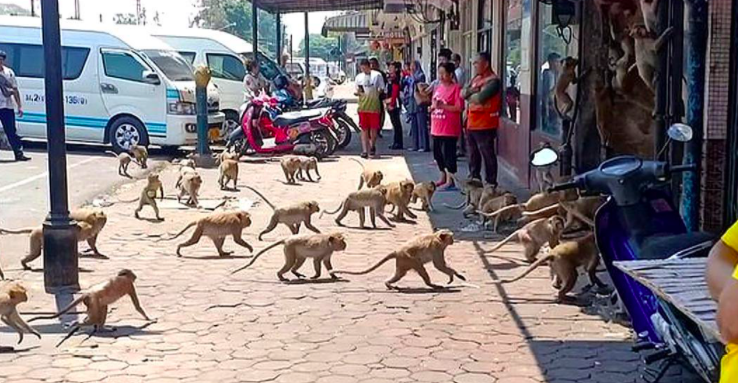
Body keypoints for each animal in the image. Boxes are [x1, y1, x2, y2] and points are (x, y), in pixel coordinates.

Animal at [330, 231, 462, 292]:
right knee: (420, 267)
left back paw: (388, 283)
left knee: (399, 274)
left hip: (402, 262)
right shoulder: (437, 248)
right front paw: (453, 275)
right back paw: (431, 285)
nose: (453, 240)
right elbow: (439, 265)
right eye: (451, 237)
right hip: (408, 259)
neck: (436, 236)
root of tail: (397, 251)